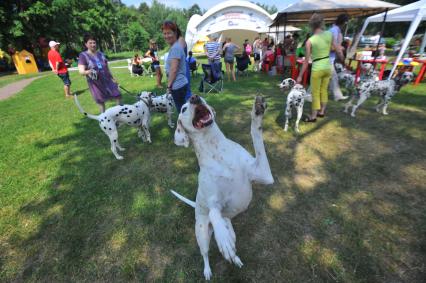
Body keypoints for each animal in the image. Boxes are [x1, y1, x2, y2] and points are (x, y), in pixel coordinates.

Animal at [171, 95, 274, 280]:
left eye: (201, 97)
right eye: (183, 109)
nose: (195, 97)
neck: (216, 149)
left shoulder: (264, 174)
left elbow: (256, 135)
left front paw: (257, 112)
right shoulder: (214, 202)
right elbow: (213, 212)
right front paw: (223, 240)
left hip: (232, 231)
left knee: (232, 248)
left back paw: (236, 258)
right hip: (202, 234)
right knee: (205, 253)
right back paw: (208, 268)